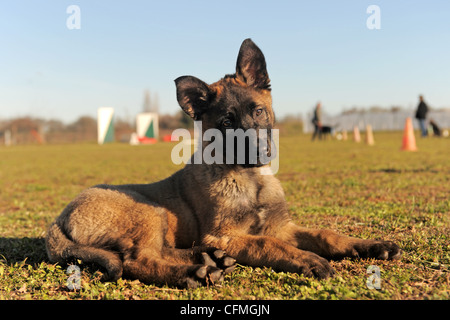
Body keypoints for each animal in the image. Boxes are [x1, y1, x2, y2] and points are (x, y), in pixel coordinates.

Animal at [45, 38, 400, 288]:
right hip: (148, 211)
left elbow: (327, 235)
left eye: (258, 111)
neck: (251, 180)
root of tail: (58, 219)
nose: (259, 151)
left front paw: (370, 245)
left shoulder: (282, 227)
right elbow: (268, 244)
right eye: (227, 122)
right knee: (138, 260)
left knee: (162, 250)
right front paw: (306, 259)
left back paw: (208, 260)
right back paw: (192, 273)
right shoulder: (225, 235)